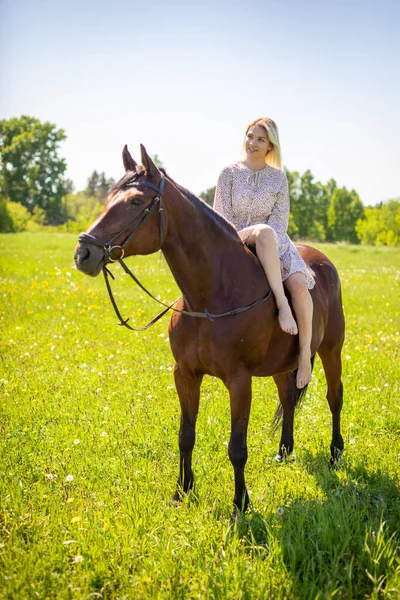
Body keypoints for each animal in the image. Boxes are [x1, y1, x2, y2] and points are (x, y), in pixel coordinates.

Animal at [74, 144, 344, 510]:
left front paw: (240, 504)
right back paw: (284, 451)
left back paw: (335, 453)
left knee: (334, 397)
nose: (83, 252)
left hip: (332, 350)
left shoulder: (239, 381)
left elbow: (237, 448)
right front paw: (182, 491)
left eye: (135, 201)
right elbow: (185, 435)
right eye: (109, 198)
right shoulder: (185, 374)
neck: (211, 296)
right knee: (288, 396)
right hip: (281, 364)